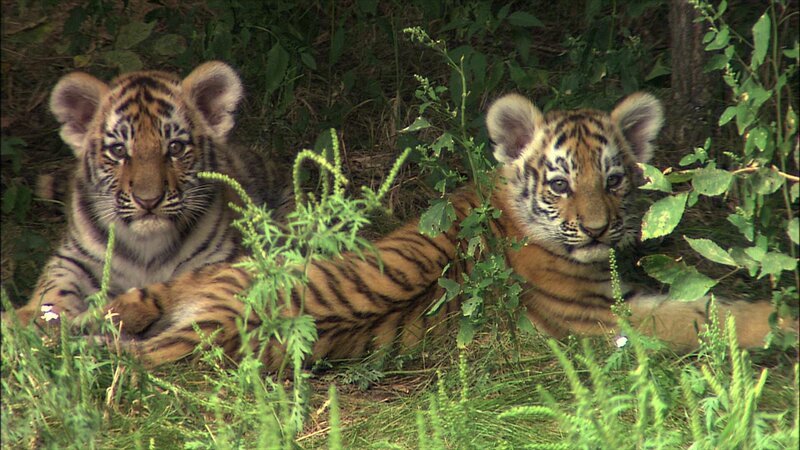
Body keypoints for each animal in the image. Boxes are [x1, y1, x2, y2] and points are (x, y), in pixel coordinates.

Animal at [7, 61, 291, 326]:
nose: (148, 200)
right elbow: (53, 287)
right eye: (119, 151)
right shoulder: (74, 259)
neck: (146, 246)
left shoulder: (218, 257)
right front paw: (27, 319)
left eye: (175, 148)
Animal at [43, 92, 794, 369]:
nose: (600, 231)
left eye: (613, 179)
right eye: (559, 183)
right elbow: (702, 319)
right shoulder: (598, 324)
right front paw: (776, 323)